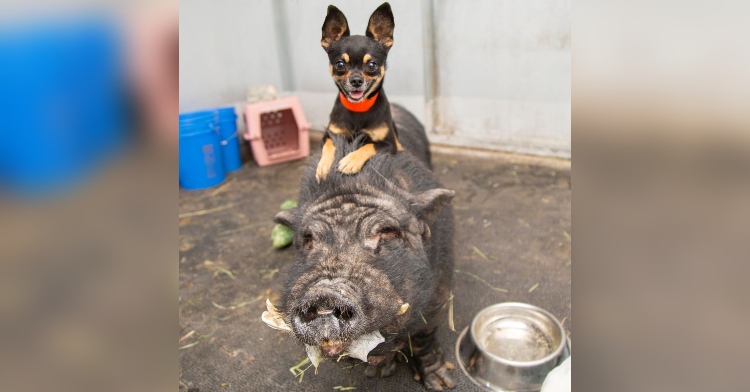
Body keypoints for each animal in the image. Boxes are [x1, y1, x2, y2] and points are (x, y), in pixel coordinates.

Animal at [274, 103, 456, 388]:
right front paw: (378, 373)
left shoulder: (441, 288)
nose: (325, 294)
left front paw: (441, 383)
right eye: (309, 239)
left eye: (386, 232)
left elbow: (424, 335)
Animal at [314, 1, 402, 182]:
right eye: (340, 64)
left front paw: (351, 161)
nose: (356, 81)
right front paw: (324, 165)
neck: (358, 108)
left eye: (372, 65)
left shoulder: (388, 144)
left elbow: (369, 146)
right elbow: (329, 144)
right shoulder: (329, 134)